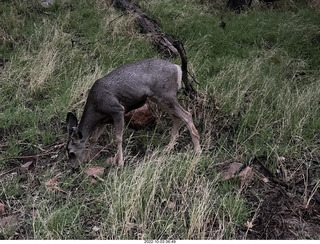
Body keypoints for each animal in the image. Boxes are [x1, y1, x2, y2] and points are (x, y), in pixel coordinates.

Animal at [66, 58, 201, 167]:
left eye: (71, 153)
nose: (74, 167)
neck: (96, 108)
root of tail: (177, 68)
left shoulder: (117, 109)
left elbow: (118, 137)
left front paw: (120, 163)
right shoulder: (104, 119)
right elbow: (93, 139)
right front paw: (87, 159)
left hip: (167, 95)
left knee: (187, 115)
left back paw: (197, 150)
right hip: (158, 98)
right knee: (176, 117)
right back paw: (168, 149)